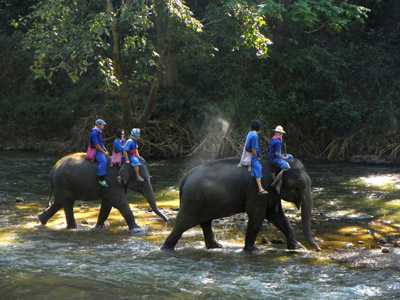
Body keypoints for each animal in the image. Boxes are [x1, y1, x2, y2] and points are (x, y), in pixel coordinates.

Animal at [38, 154, 167, 231]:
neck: (124, 160)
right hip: (63, 183)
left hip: (61, 184)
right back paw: (73, 227)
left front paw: (99, 227)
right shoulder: (113, 182)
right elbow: (119, 202)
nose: (166, 221)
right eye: (142, 181)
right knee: (67, 203)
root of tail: (54, 168)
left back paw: (41, 220)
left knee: (58, 203)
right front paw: (137, 229)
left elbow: (107, 205)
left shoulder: (110, 186)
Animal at [161, 158, 320, 252]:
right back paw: (166, 249)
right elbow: (257, 215)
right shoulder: (258, 189)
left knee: (205, 222)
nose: (318, 249)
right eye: (298, 187)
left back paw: (216, 246)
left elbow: (277, 216)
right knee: (183, 223)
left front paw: (296, 247)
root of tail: (185, 178)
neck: (275, 163)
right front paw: (252, 250)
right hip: (193, 201)